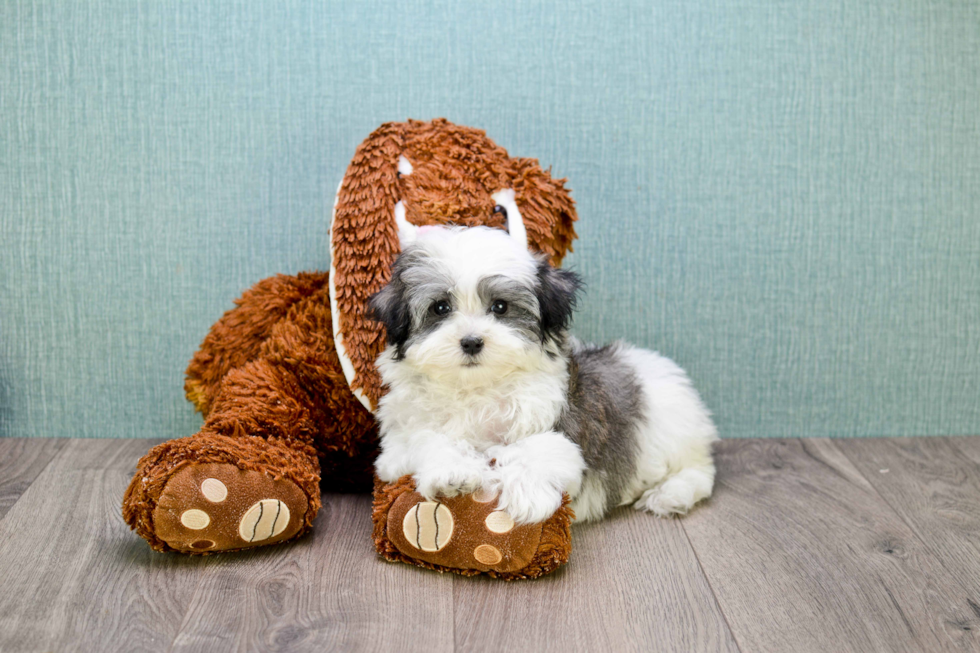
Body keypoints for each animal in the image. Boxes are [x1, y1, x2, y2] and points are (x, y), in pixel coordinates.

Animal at [366, 227, 712, 524]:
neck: (476, 390)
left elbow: (542, 448)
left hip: (673, 430)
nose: (472, 341)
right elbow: (427, 440)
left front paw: (527, 496)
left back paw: (671, 494)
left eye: (500, 307)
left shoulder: (563, 425)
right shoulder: (397, 445)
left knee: (701, 470)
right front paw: (454, 472)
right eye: (440, 308)